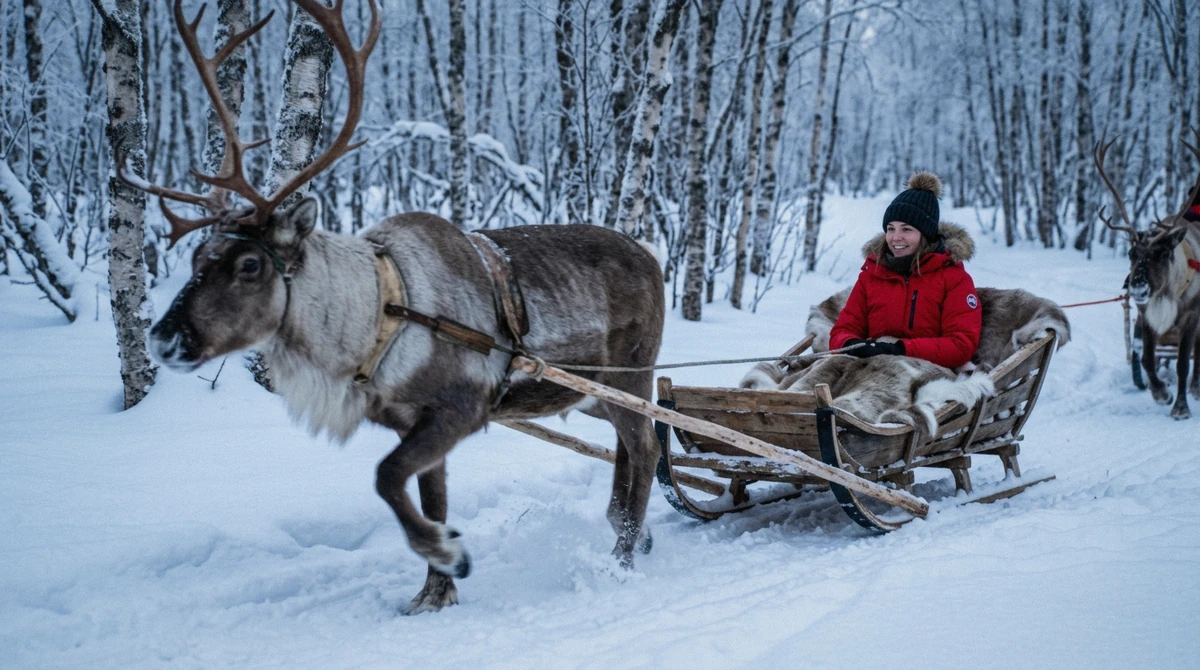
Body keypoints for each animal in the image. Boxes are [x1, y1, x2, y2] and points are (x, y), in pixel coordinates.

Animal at [124, 0, 665, 614]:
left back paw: (621, 557)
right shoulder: (415, 422)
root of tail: (652, 256)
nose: (164, 338)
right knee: (631, 445)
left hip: (629, 376)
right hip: (588, 392)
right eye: (197, 255)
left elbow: (385, 477)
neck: (375, 318)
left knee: (647, 445)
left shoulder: (459, 410)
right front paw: (434, 591)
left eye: (249, 265)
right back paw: (631, 530)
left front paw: (448, 553)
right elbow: (428, 495)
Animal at [1096, 135, 1200, 420]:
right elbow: (1145, 359)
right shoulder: (1146, 315)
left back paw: (1195, 388)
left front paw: (1180, 407)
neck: (1168, 292)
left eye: (1162, 253)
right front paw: (1161, 393)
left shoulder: (1191, 317)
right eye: (1131, 253)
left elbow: (1183, 362)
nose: (1138, 288)